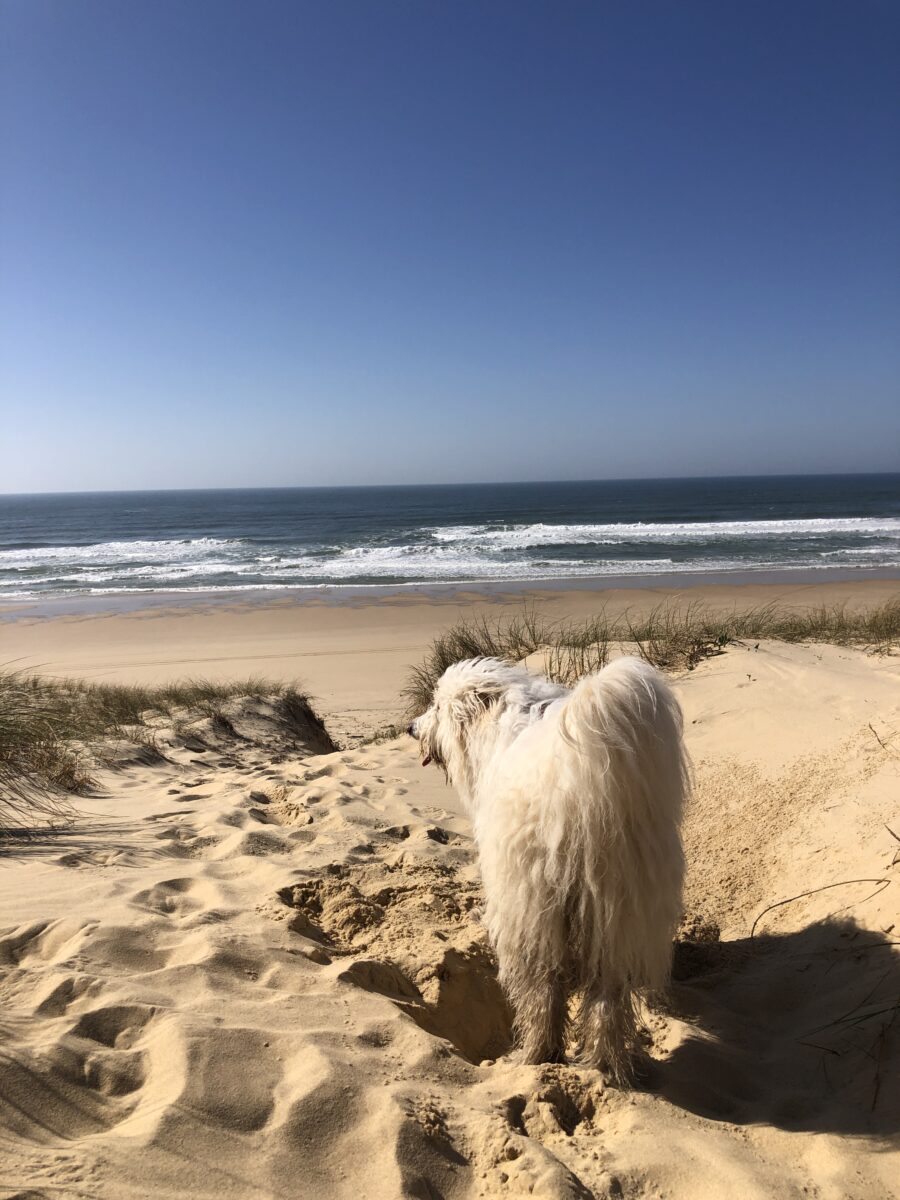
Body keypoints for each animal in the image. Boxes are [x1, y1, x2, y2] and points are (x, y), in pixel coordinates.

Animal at [410, 652, 691, 1084]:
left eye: (437, 707)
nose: (410, 728)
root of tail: (584, 794)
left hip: (532, 906)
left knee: (542, 988)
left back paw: (536, 1054)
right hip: (620, 906)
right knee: (608, 995)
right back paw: (603, 1063)